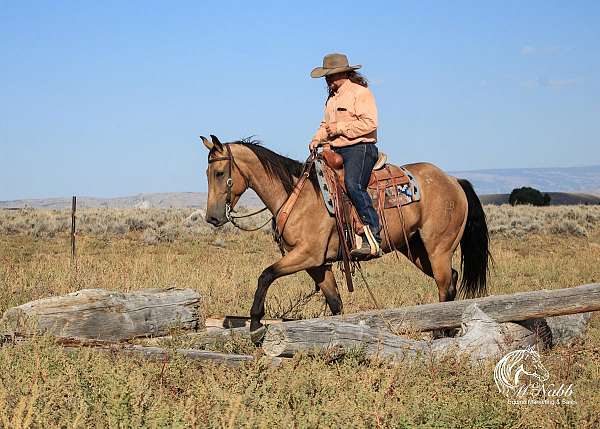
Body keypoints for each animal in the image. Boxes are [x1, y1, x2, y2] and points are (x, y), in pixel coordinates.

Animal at [199, 135, 490, 332]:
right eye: (207, 172)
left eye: (220, 172)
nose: (212, 217)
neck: (297, 196)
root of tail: (453, 181)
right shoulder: (317, 265)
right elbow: (335, 304)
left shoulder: (306, 255)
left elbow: (265, 275)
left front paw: (256, 323)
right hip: (417, 251)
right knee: (452, 279)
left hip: (438, 248)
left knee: (444, 285)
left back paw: (442, 333)